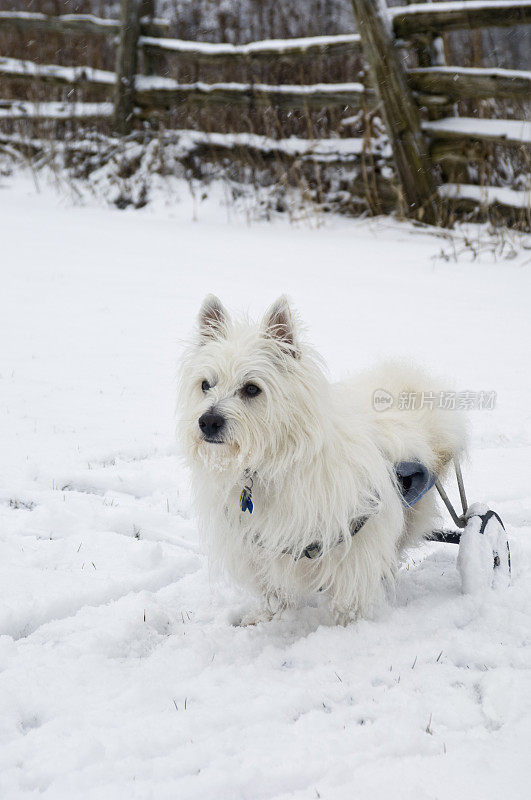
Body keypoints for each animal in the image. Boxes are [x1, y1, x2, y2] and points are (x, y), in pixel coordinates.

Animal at [179, 294, 466, 624]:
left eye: (252, 388)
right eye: (205, 384)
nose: (208, 421)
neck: (272, 463)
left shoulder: (355, 541)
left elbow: (349, 597)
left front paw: (346, 629)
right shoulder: (257, 544)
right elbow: (271, 590)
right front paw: (263, 617)